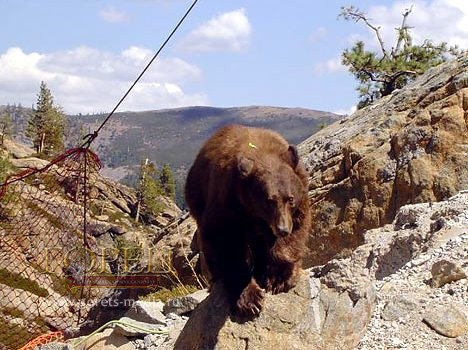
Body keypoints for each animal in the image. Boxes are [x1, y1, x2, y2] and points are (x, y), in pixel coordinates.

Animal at [184, 123, 310, 318]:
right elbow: (225, 242)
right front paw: (249, 299)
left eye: (290, 198)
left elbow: (296, 230)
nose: (282, 229)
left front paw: (279, 277)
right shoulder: (227, 201)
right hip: (197, 196)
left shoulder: (299, 194)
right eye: (269, 201)